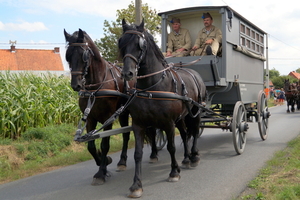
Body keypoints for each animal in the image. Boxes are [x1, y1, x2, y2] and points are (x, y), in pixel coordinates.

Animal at [64, 28, 161, 185]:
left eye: (84, 55)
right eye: (68, 56)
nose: (76, 85)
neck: (96, 87)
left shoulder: (107, 117)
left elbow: (105, 144)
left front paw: (101, 172)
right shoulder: (90, 118)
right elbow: (91, 145)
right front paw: (103, 162)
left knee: (150, 130)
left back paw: (153, 154)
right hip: (123, 113)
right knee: (126, 135)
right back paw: (122, 161)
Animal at [118, 19, 207, 198]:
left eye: (140, 44)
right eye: (121, 43)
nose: (127, 74)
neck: (152, 87)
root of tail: (194, 73)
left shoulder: (168, 123)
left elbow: (171, 147)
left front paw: (174, 172)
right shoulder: (139, 124)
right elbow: (138, 154)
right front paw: (136, 185)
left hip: (195, 113)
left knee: (194, 132)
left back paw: (194, 156)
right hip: (181, 117)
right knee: (185, 134)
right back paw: (186, 157)